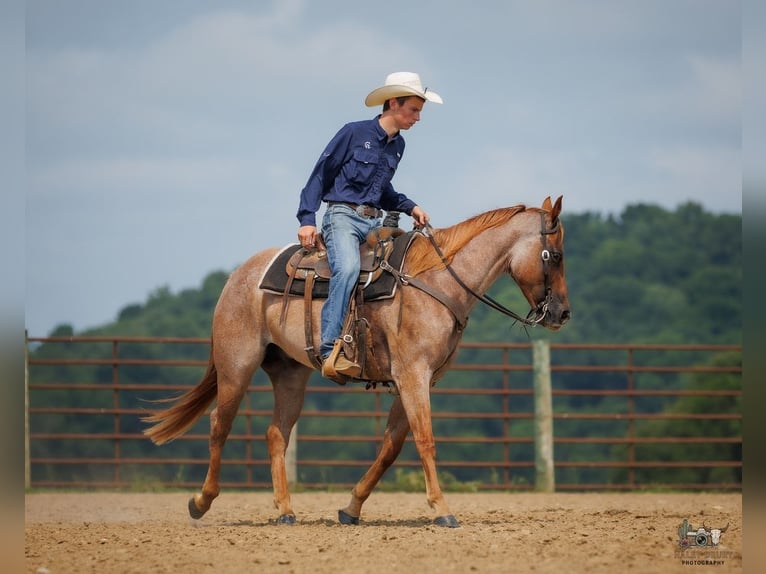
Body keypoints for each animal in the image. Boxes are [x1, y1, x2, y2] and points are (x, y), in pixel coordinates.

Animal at [143, 195, 570, 528]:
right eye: (556, 255)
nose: (562, 314)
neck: (436, 280)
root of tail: (236, 277)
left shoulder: (414, 381)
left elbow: (391, 447)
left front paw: (351, 508)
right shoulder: (413, 376)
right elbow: (425, 440)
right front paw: (443, 510)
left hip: (290, 375)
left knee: (276, 433)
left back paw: (285, 510)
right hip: (236, 366)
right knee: (219, 424)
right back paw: (201, 501)